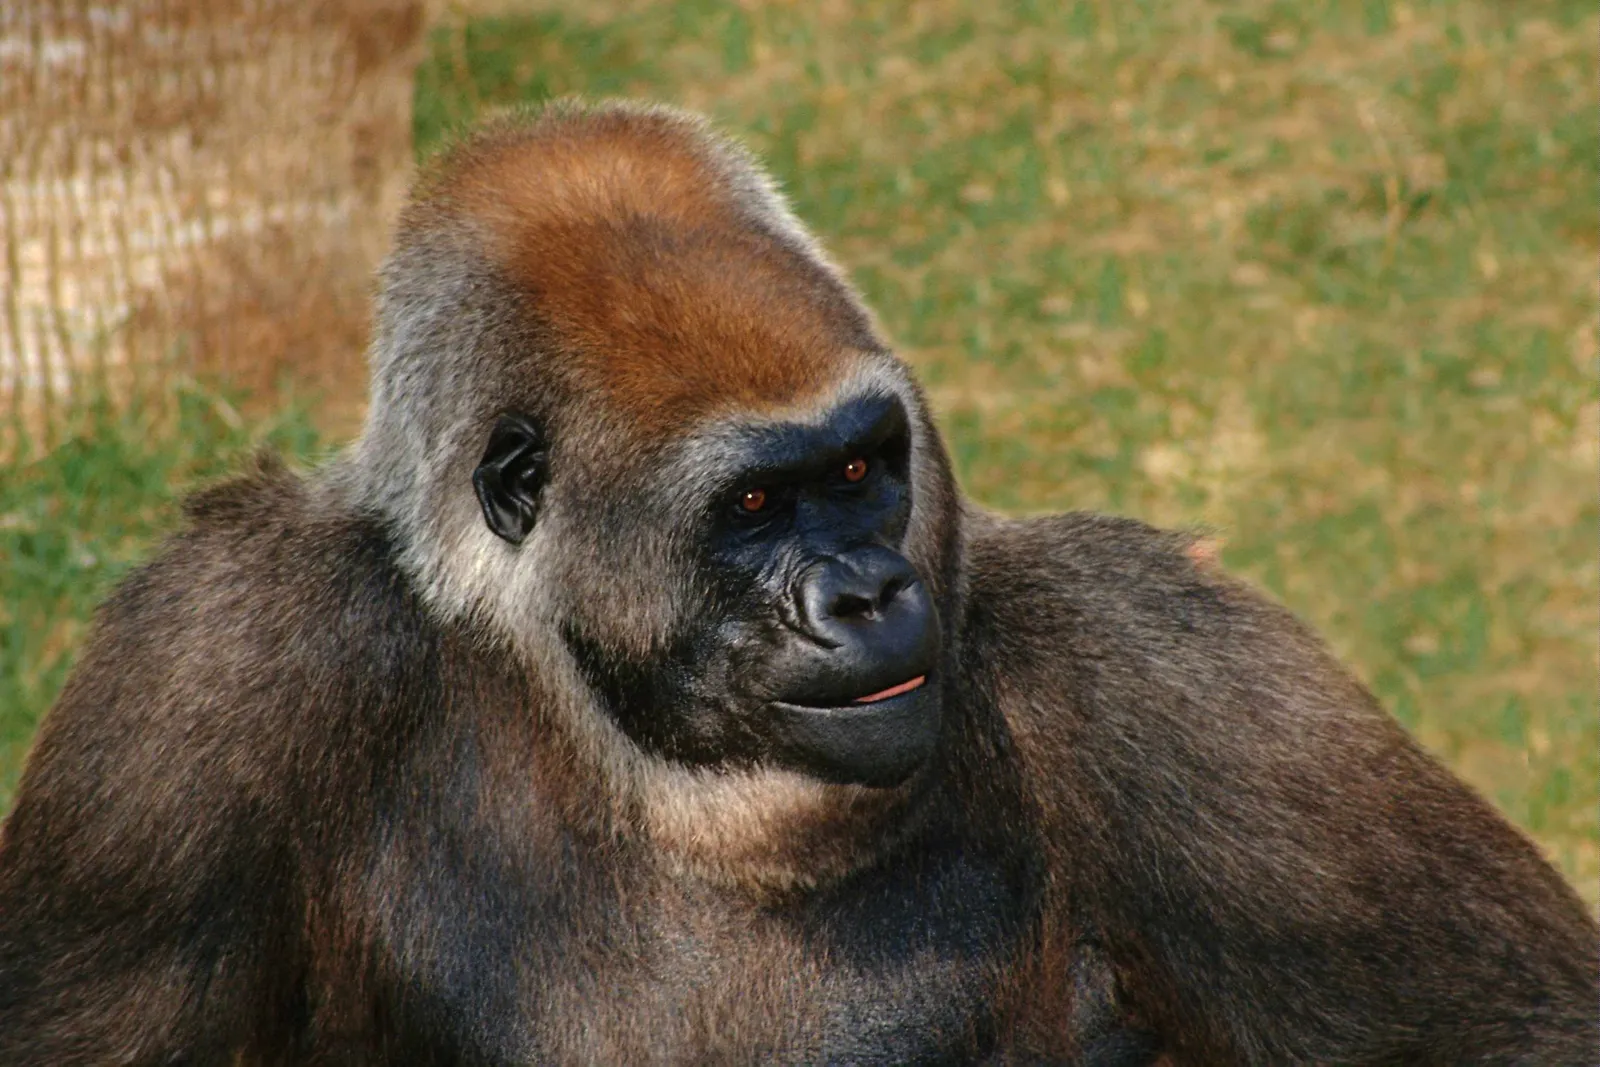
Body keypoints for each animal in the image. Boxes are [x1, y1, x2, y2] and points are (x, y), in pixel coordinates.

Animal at [0, 99, 1594, 1065]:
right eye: (758, 503)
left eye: (864, 467)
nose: (870, 594)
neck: (631, 736)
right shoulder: (208, 661)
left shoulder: (1174, 667)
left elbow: (1516, 1026)